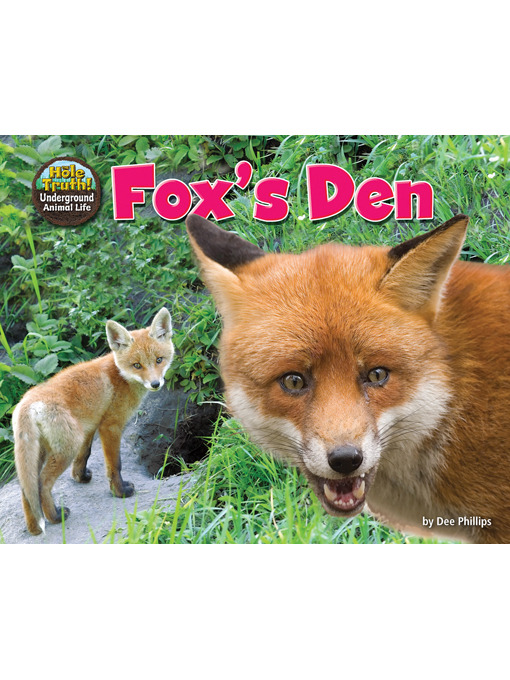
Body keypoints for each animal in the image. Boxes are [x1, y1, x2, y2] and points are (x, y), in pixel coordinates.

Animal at [12, 307, 174, 536]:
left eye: (159, 360)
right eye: (137, 365)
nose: (155, 384)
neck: (121, 376)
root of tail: (27, 402)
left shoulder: (89, 426)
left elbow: (85, 455)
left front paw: (80, 477)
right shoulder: (110, 426)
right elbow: (115, 465)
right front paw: (120, 492)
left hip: (42, 451)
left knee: (27, 489)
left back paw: (34, 527)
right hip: (66, 448)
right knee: (42, 483)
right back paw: (55, 517)